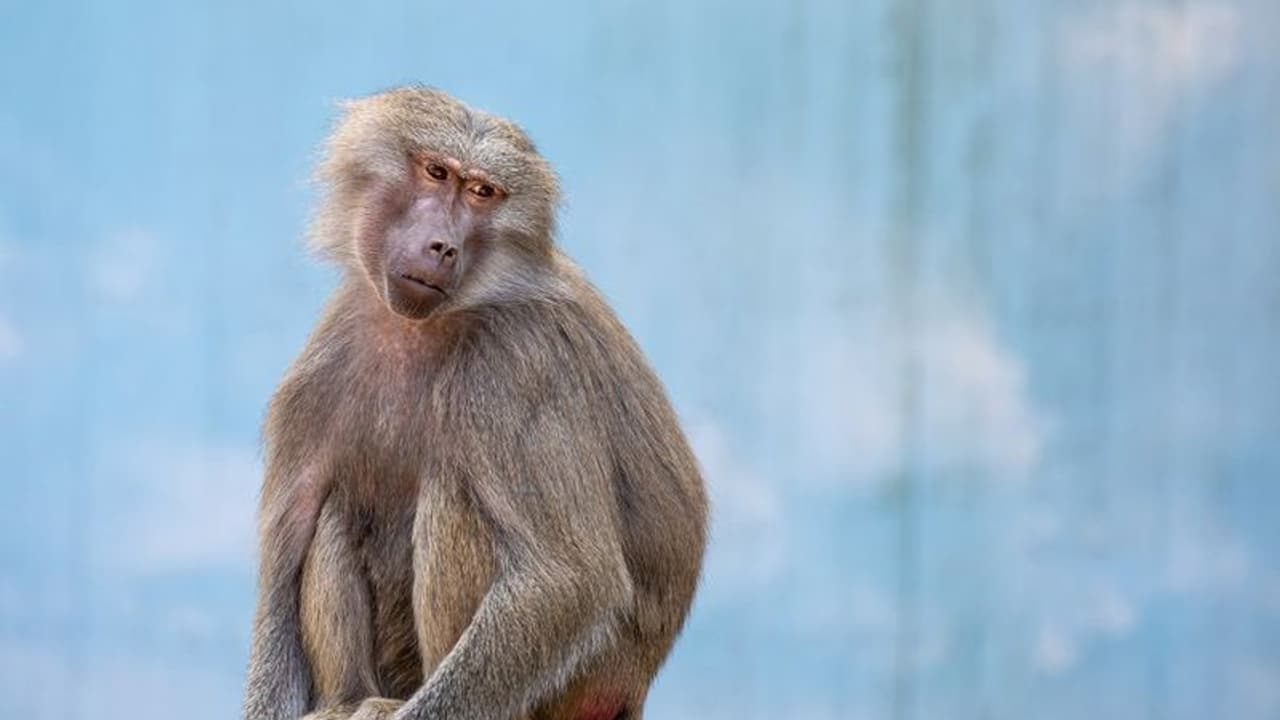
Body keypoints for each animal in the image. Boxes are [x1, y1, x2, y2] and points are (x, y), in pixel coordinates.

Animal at [241, 86, 708, 720]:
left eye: (483, 192)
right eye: (437, 173)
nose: (443, 246)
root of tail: (632, 691)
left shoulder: (517, 368)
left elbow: (567, 577)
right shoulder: (326, 364)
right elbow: (286, 552)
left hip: (577, 686)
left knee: (454, 493)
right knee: (337, 507)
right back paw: (348, 700)